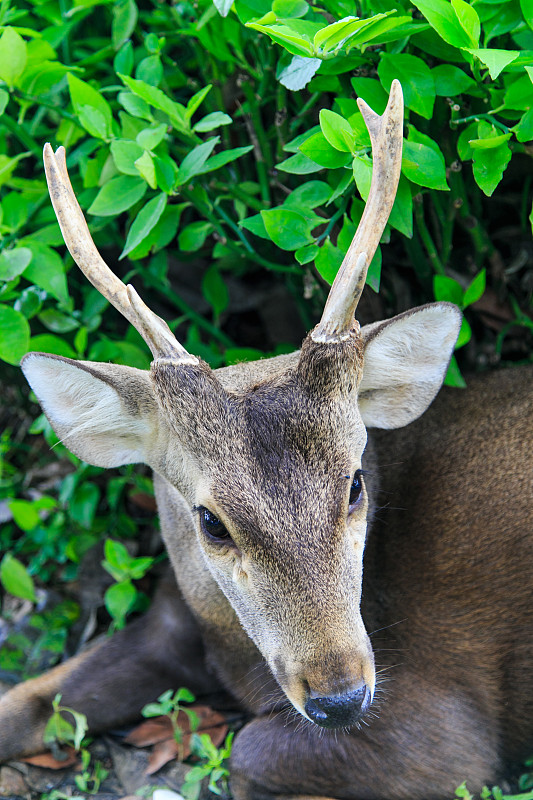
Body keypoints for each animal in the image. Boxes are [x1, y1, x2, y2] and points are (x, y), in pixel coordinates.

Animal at [1, 79, 532, 800]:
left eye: (355, 484)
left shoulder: (450, 727)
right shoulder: (169, 623)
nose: (340, 698)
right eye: (210, 521)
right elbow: (25, 701)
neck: (229, 651)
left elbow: (247, 752)